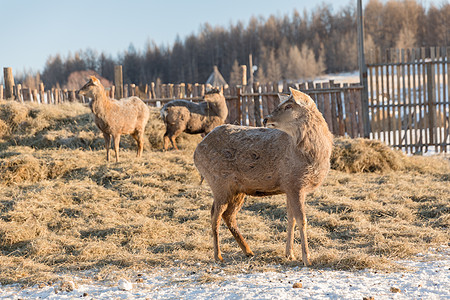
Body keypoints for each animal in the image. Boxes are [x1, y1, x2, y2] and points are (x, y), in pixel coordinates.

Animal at [193, 88, 334, 266]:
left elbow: (291, 218)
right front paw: (306, 259)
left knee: (228, 215)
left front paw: (289, 254)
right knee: (215, 215)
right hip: (219, 182)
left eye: (288, 106)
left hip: (237, 189)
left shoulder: (289, 186)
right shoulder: (294, 183)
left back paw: (248, 251)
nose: (266, 118)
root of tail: (196, 152)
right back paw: (218, 255)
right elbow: (302, 220)